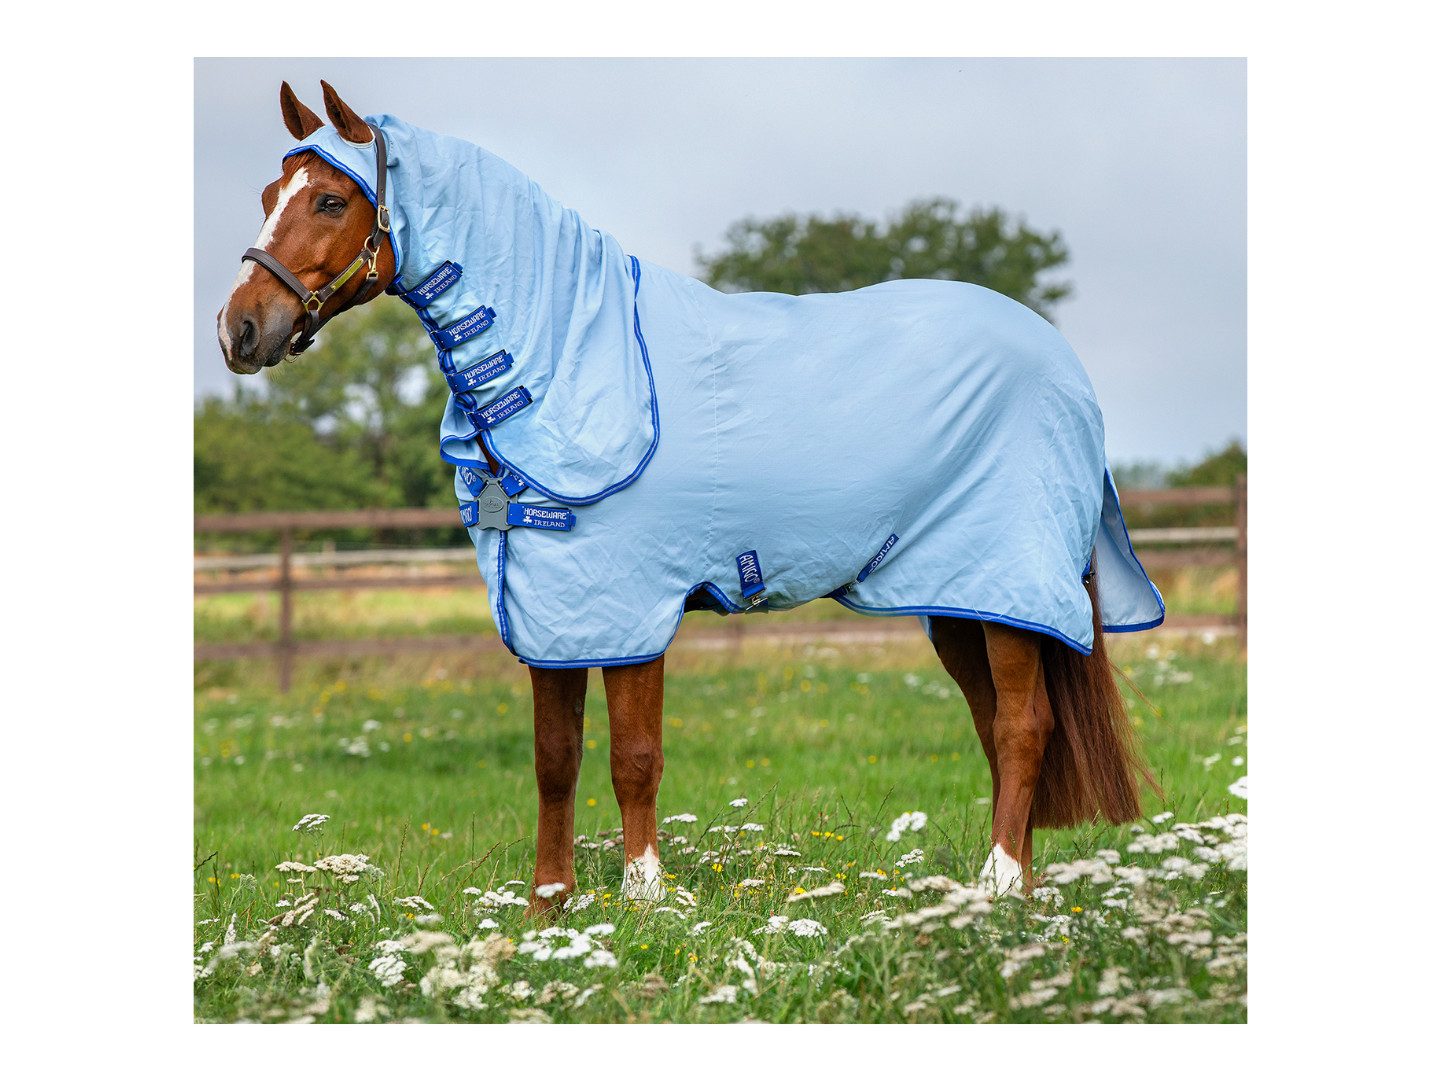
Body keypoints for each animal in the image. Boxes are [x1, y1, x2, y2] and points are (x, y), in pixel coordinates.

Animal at [217, 81, 1163, 915]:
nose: (239, 331)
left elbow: (634, 755)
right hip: (958, 597)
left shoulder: (629, 600)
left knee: (1022, 727)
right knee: (997, 723)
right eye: (267, 194)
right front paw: (547, 909)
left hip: (1010, 585)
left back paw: (1001, 888)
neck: (570, 358)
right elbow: (555, 759)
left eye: (331, 199)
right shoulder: (553, 607)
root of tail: (1061, 361)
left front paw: (644, 897)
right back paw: (1008, 893)